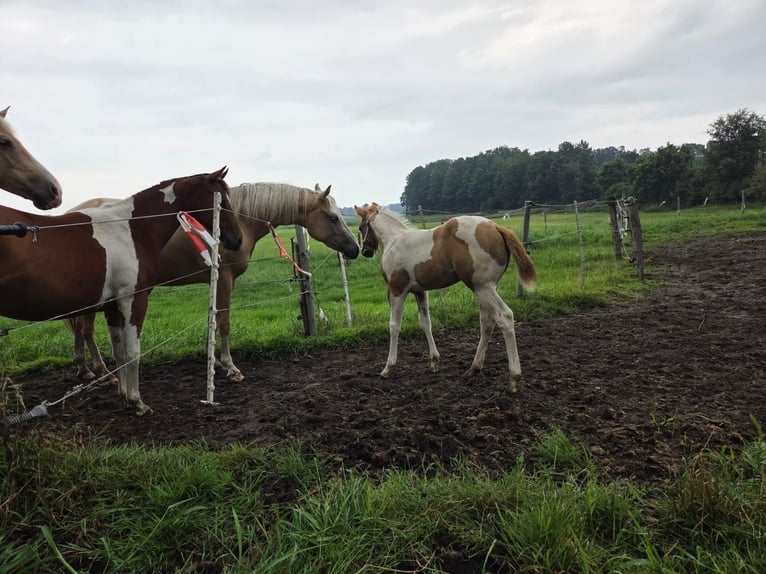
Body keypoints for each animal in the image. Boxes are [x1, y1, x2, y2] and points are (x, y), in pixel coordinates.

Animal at [0, 167, 243, 415]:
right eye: (222, 200)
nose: (236, 240)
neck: (133, 228)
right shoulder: (133, 301)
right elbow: (133, 352)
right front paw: (138, 402)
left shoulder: (112, 306)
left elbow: (119, 351)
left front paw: (124, 395)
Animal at [64, 182, 360, 383]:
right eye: (333, 217)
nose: (355, 249)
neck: (238, 218)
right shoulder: (226, 279)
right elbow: (225, 321)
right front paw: (230, 367)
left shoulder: (216, 282)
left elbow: (213, 320)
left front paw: (215, 362)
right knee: (86, 329)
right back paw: (103, 371)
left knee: (80, 328)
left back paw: (85, 369)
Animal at [354, 203, 537, 392]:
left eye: (361, 228)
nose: (365, 251)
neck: (394, 240)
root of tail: (495, 227)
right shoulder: (420, 292)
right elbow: (425, 323)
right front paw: (434, 362)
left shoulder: (397, 291)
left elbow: (394, 326)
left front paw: (388, 367)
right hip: (486, 289)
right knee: (487, 322)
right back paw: (473, 369)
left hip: (483, 287)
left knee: (504, 317)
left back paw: (514, 377)